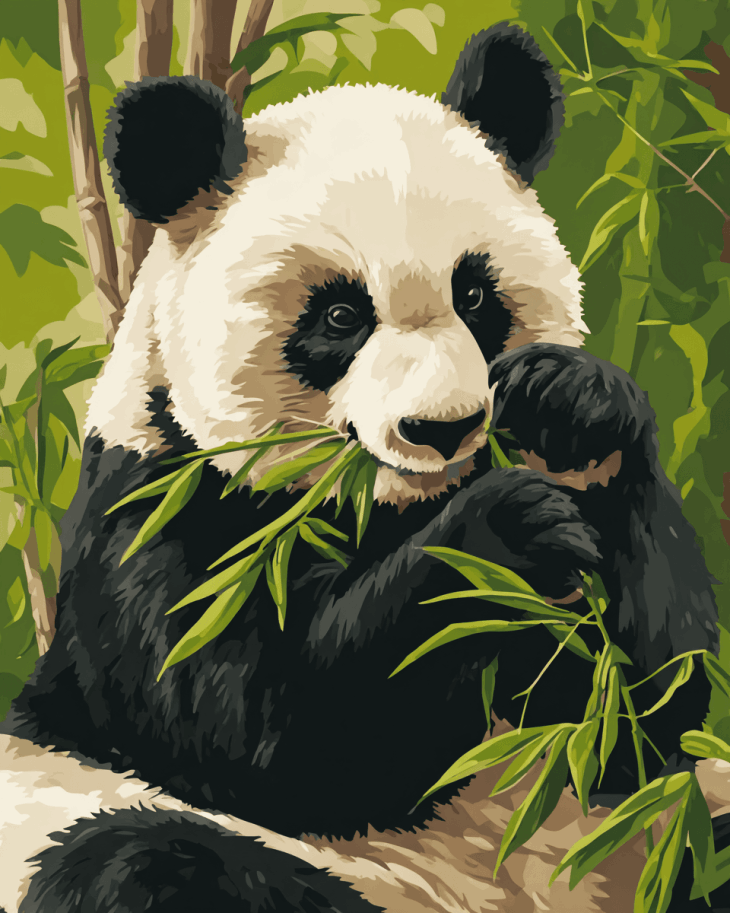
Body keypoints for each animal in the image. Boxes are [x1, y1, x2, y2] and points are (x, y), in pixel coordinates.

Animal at [1, 21, 727, 913]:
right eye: (341, 315)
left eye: (475, 296)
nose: (444, 429)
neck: (386, 508)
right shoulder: (155, 508)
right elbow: (269, 728)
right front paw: (502, 532)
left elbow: (638, 718)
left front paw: (575, 408)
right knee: (137, 862)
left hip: (659, 847)